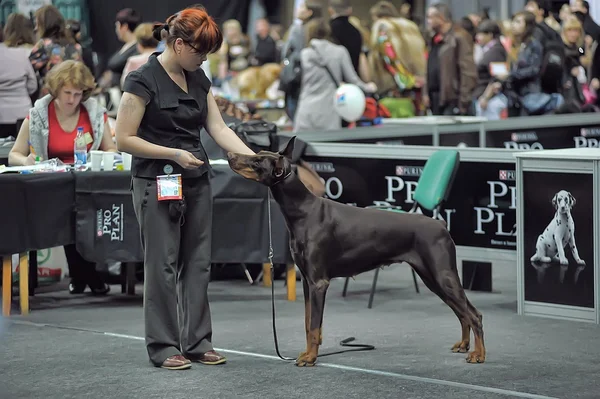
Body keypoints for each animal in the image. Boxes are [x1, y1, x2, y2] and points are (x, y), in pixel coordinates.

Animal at [227, 138, 486, 368]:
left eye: (257, 161)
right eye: (257, 153)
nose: (229, 154)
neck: (303, 211)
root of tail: (441, 224)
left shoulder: (318, 282)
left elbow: (314, 326)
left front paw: (310, 358)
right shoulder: (307, 282)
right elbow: (308, 323)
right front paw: (308, 353)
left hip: (443, 274)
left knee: (474, 314)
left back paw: (478, 354)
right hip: (431, 277)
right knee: (461, 312)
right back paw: (464, 345)